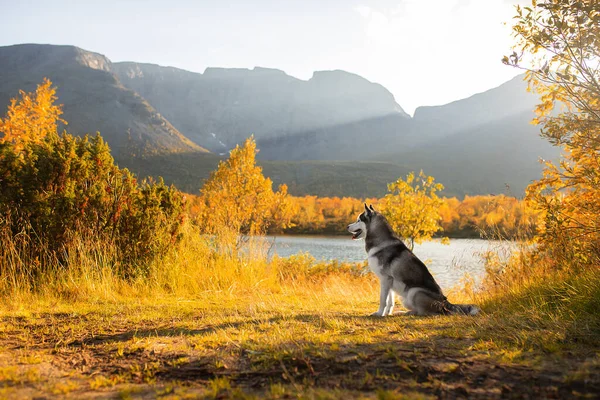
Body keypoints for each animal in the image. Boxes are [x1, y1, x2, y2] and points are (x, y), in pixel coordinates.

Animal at [346, 205, 478, 318]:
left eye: (358, 220)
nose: (347, 226)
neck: (380, 240)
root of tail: (445, 302)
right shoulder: (389, 282)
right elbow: (390, 301)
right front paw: (387, 314)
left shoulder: (385, 279)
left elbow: (383, 300)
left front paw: (379, 314)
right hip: (405, 298)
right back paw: (402, 312)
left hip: (413, 292)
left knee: (428, 313)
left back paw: (410, 313)